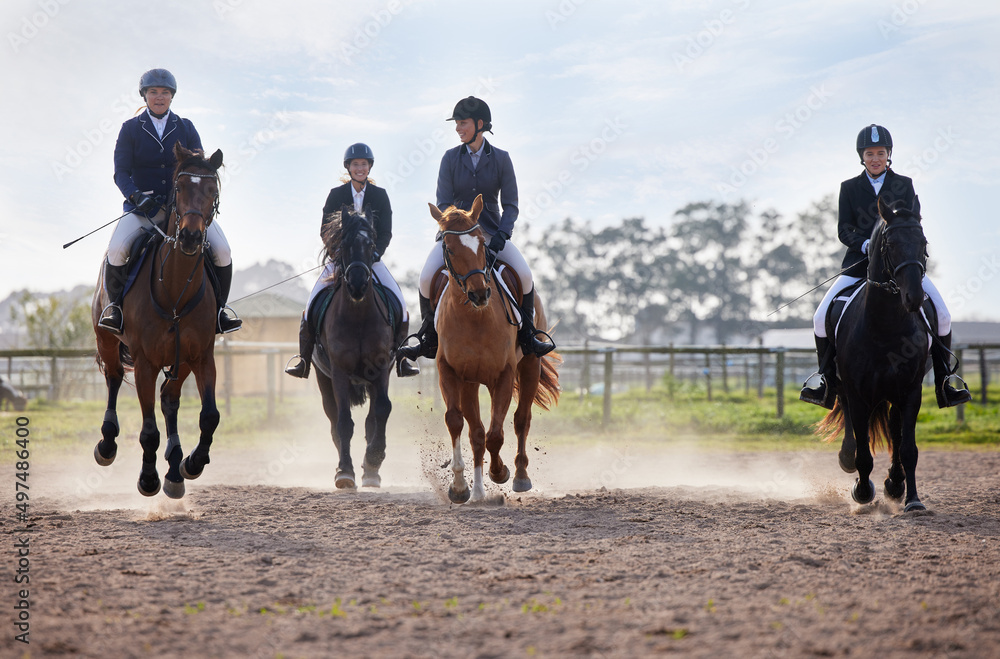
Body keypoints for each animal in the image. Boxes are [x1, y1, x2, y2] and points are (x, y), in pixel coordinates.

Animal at [93, 142, 224, 498]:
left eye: (212, 191)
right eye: (179, 188)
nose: (191, 237)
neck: (175, 287)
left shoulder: (202, 356)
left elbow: (210, 416)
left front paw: (191, 464)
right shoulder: (145, 362)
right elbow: (149, 430)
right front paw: (148, 479)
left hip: (181, 360)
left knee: (169, 398)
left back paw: (176, 470)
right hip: (106, 339)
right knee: (113, 378)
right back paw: (107, 445)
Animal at [312, 206, 398, 490]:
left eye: (370, 245)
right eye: (345, 244)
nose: (358, 284)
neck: (359, 315)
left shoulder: (381, 368)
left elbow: (382, 410)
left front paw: (374, 459)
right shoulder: (338, 372)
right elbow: (343, 423)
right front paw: (345, 472)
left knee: (372, 419)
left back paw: (371, 471)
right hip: (323, 378)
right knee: (333, 419)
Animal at [426, 193, 560, 502]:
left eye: (481, 243)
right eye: (448, 248)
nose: (480, 293)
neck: (475, 318)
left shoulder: (504, 375)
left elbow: (496, 434)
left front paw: (499, 473)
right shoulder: (451, 373)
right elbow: (458, 422)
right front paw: (460, 487)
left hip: (530, 364)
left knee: (521, 419)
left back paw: (520, 476)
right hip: (472, 382)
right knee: (476, 432)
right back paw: (477, 491)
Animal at [820, 193, 928, 512]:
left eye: (923, 242)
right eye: (890, 245)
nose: (914, 297)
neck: (885, 328)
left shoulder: (911, 391)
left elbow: (908, 448)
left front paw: (912, 500)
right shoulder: (857, 392)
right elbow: (863, 449)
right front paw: (862, 490)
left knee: (894, 427)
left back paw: (895, 483)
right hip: (846, 385)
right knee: (850, 419)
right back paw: (849, 461)